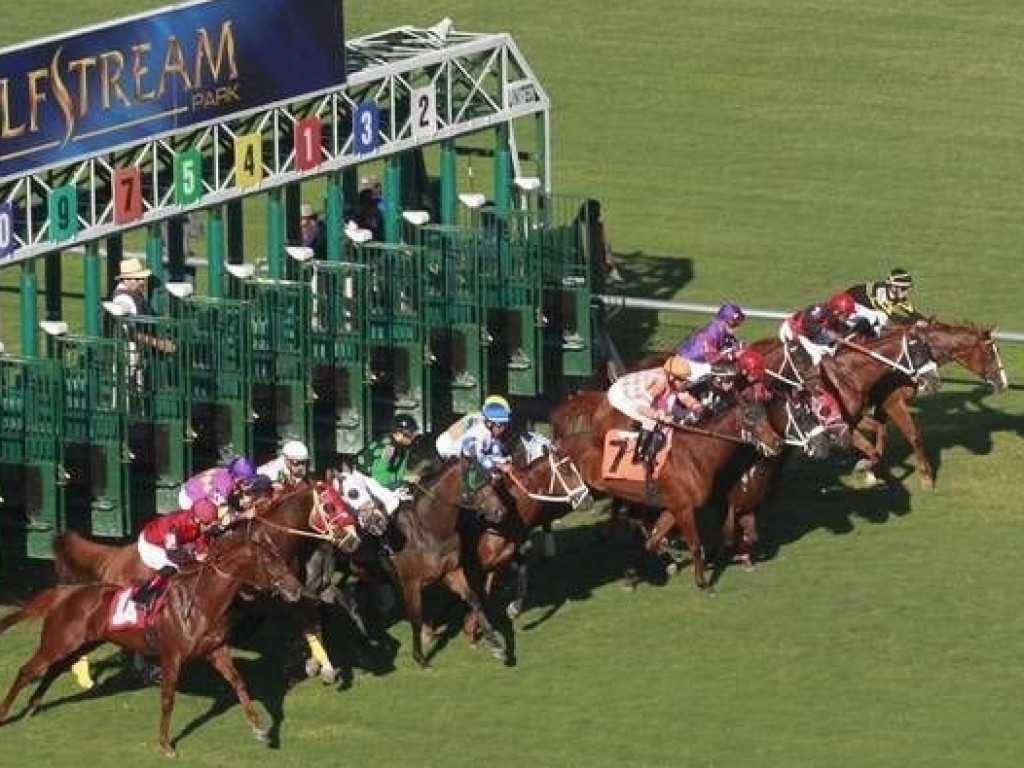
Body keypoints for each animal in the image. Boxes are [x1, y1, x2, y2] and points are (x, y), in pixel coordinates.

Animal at [0, 528, 303, 761]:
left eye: (280, 556)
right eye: (269, 559)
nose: (296, 588)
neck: (201, 602)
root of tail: (65, 593)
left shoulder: (216, 651)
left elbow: (239, 684)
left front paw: (261, 729)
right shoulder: (172, 656)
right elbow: (167, 700)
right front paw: (166, 745)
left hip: (81, 644)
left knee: (53, 670)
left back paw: (33, 705)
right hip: (57, 642)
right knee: (27, 671)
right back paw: (5, 713)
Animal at [552, 391, 782, 589]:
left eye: (765, 414)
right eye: (749, 416)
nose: (777, 442)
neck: (696, 455)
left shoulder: (673, 507)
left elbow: (653, 539)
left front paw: (631, 575)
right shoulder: (684, 508)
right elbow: (695, 544)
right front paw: (703, 583)